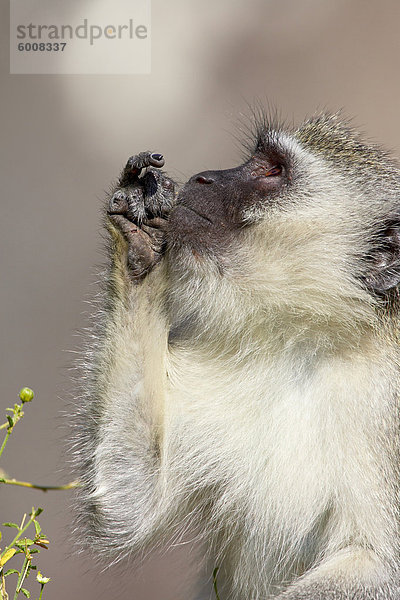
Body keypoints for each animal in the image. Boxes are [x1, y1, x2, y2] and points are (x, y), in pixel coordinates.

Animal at [73, 113, 400, 600]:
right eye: (255, 158)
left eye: (274, 170)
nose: (204, 177)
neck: (313, 337)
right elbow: (129, 500)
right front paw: (140, 237)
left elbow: (378, 565)